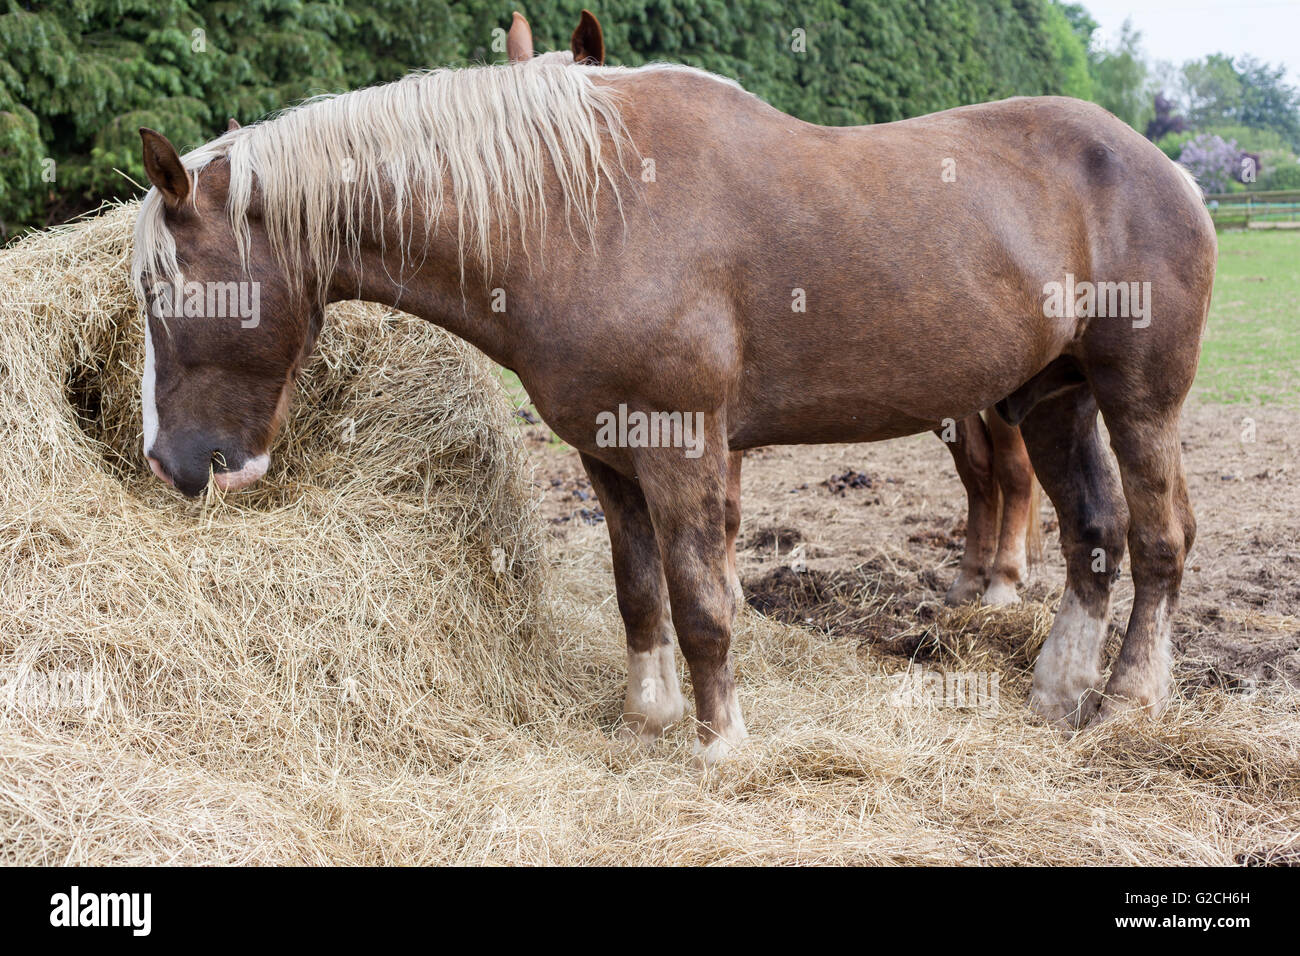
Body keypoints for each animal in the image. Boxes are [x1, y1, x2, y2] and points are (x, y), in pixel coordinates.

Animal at [134, 11, 1216, 764]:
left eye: (163, 289)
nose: (174, 464)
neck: (581, 213)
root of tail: (1167, 169)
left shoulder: (683, 444)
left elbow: (701, 598)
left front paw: (719, 742)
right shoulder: (608, 452)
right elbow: (637, 589)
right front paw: (647, 714)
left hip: (1138, 397)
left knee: (1160, 539)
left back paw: (1126, 702)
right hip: (1051, 395)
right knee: (1092, 535)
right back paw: (1057, 691)